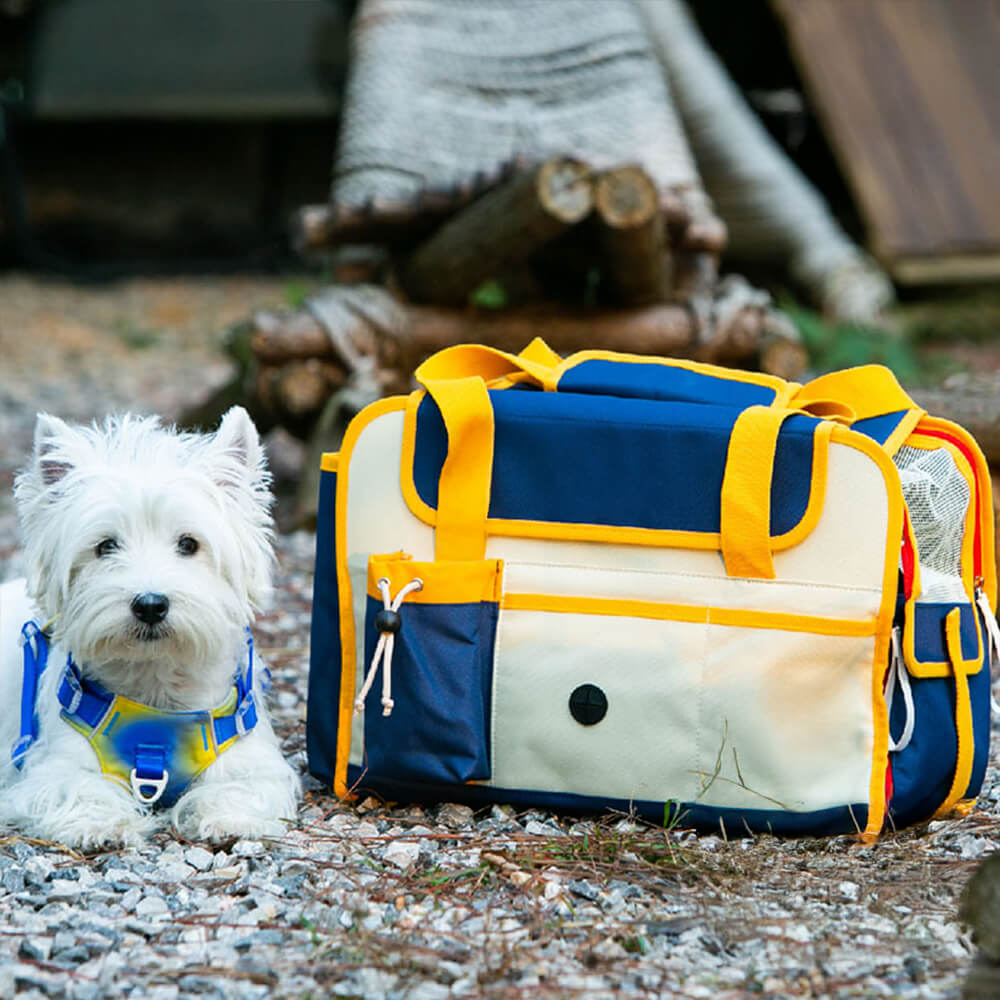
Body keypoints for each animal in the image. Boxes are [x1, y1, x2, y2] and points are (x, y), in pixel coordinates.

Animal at [0, 410, 300, 848]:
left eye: (189, 544)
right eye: (106, 546)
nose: (150, 605)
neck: (156, 686)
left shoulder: (251, 761)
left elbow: (241, 786)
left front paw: (229, 819)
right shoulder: (53, 765)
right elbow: (80, 785)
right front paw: (101, 825)